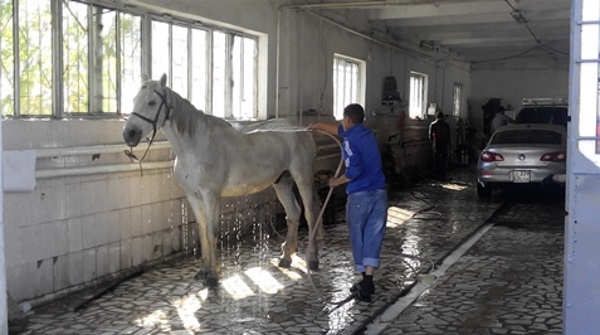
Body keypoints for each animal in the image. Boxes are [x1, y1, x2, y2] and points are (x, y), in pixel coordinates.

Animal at [120, 74, 318, 286]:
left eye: (152, 102)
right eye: (134, 100)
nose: (129, 134)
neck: (194, 146)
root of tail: (302, 130)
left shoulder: (211, 196)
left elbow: (212, 232)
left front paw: (213, 276)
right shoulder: (193, 196)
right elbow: (202, 231)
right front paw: (204, 270)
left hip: (303, 179)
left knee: (310, 214)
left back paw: (313, 260)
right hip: (282, 182)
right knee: (293, 213)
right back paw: (287, 257)